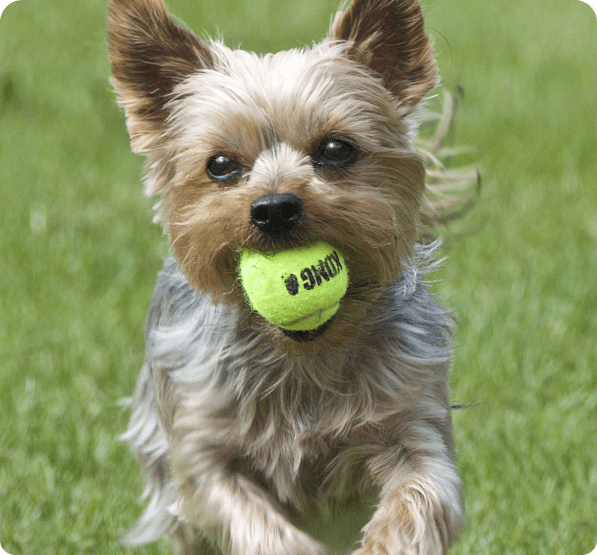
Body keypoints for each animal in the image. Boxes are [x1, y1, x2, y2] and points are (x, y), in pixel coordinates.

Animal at [109, 0, 468, 552]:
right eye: (219, 164)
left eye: (337, 149)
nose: (275, 207)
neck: (301, 356)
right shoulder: (201, 448)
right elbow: (253, 523)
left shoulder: (412, 420)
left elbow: (420, 498)